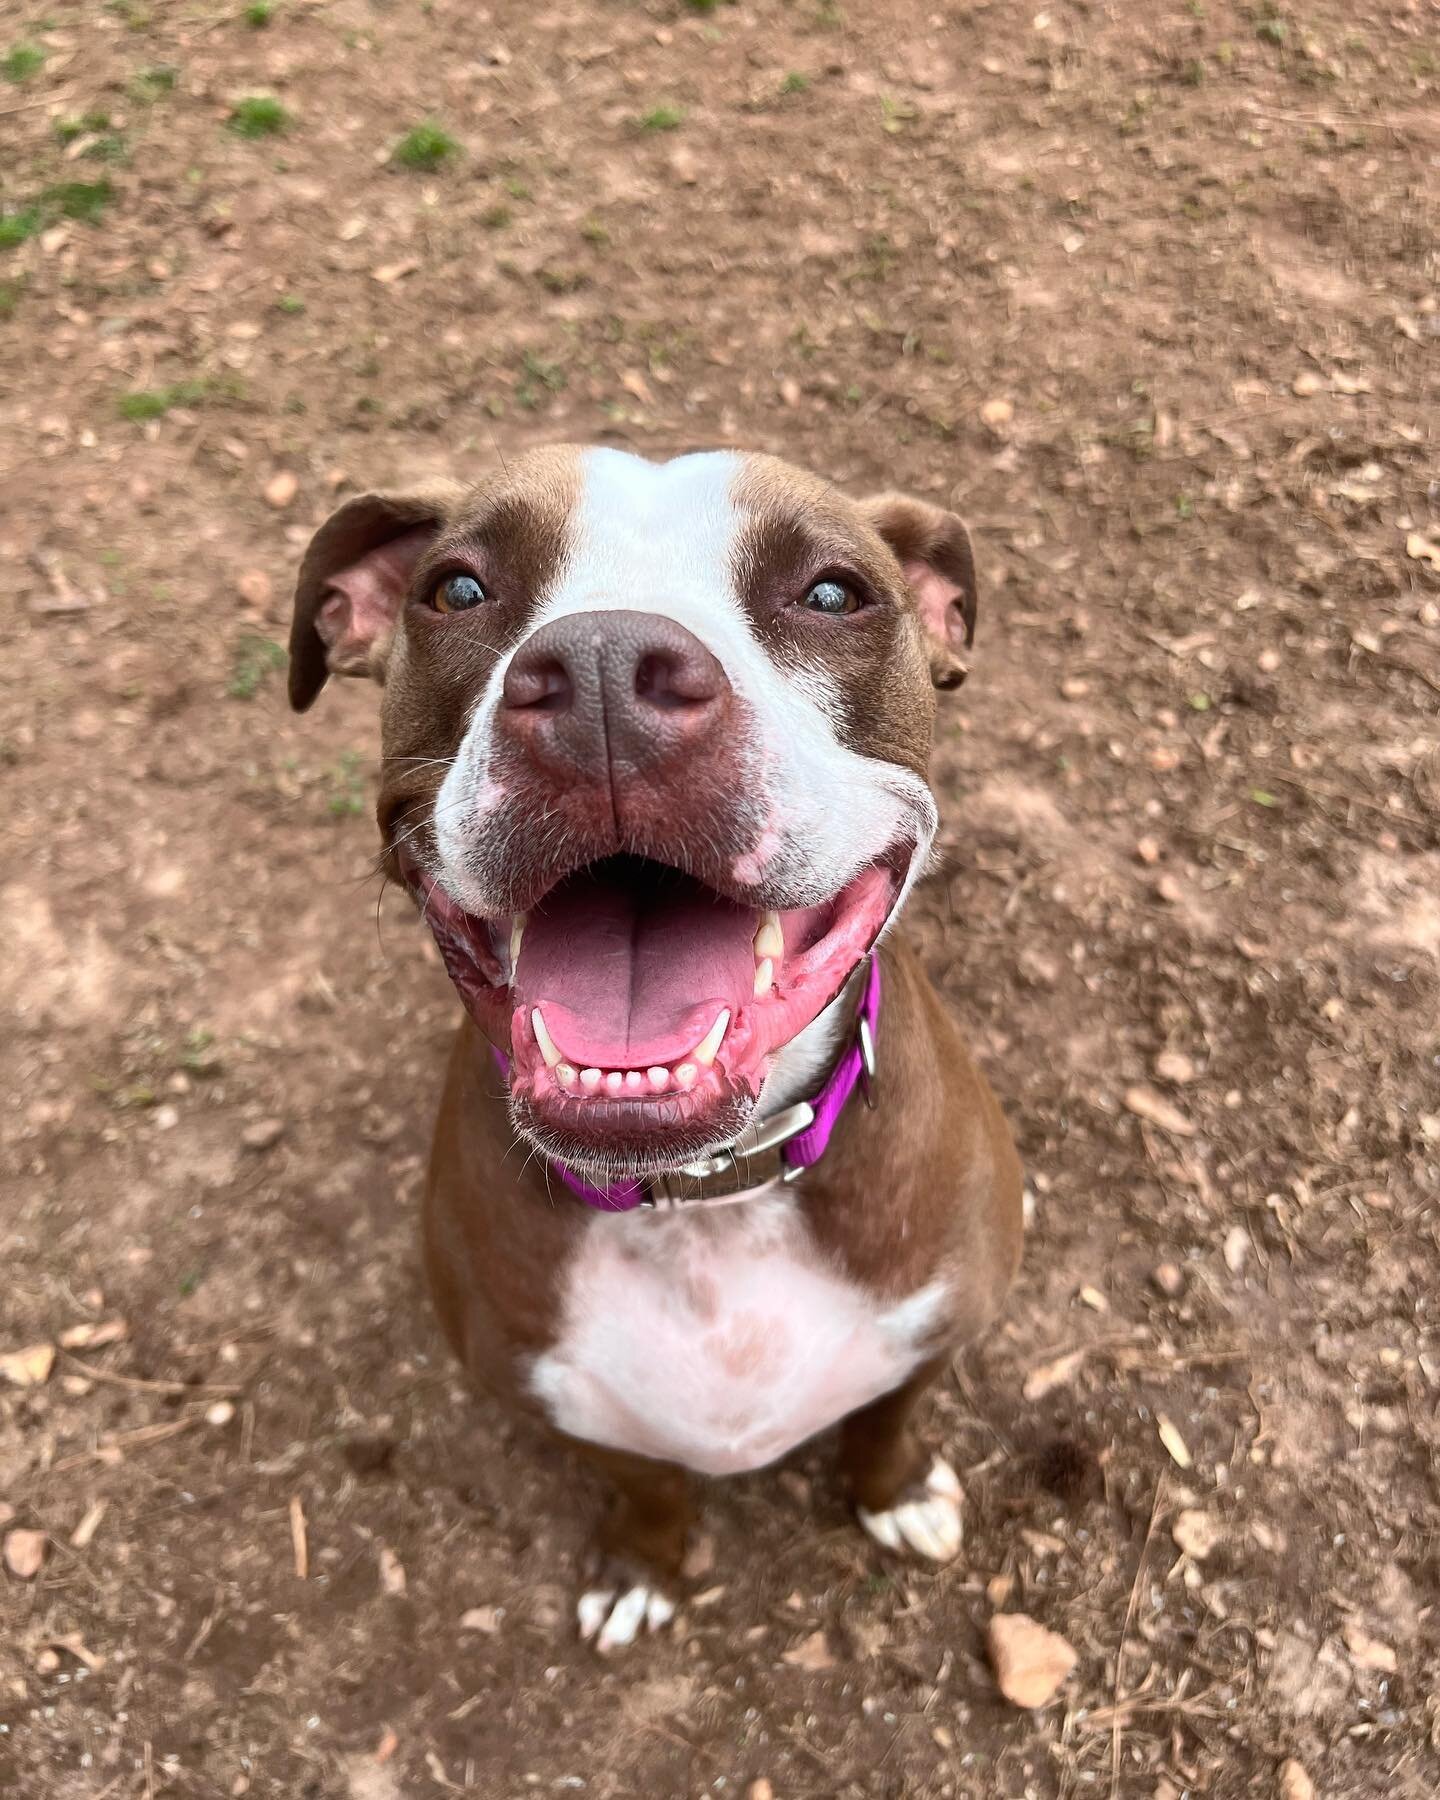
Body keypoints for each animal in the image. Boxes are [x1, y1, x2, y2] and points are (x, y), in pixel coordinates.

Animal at [286, 446, 1015, 1648]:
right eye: (456, 590)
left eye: (832, 593)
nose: (601, 670)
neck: (708, 1194)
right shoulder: (555, 1391)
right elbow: (648, 1481)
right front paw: (645, 1564)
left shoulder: (939, 1321)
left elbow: (885, 1417)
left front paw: (894, 1490)